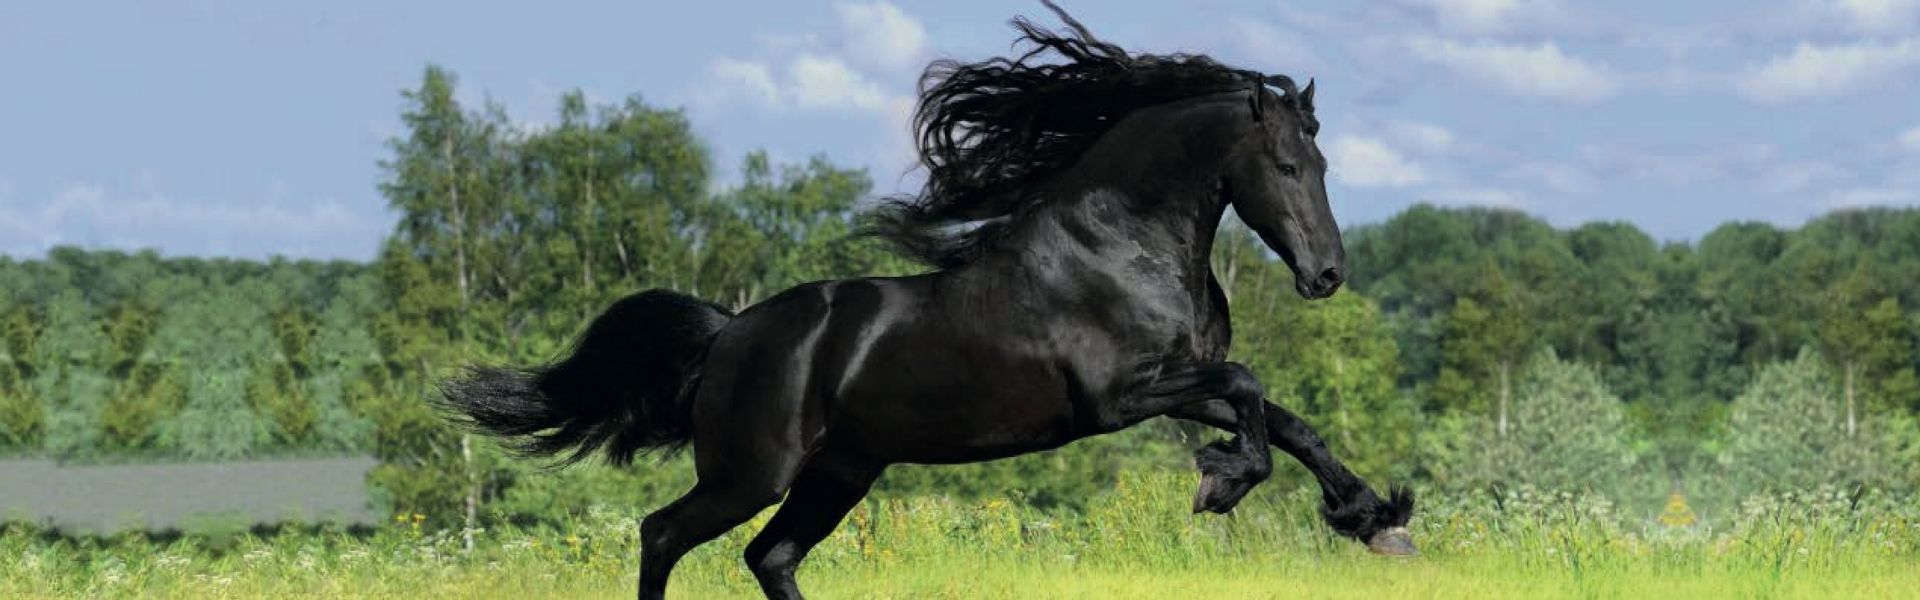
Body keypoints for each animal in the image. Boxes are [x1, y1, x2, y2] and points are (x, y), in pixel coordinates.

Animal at [441, 3, 1416, 598]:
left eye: (1323, 162)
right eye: (1285, 164)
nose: (1326, 275)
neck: (1120, 247)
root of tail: (728, 334)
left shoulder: (1179, 382)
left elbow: (1290, 422)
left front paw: (1377, 521)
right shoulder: (1119, 397)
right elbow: (1252, 392)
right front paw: (1222, 485)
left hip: (839, 472)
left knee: (770, 554)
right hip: (751, 472)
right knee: (662, 533)